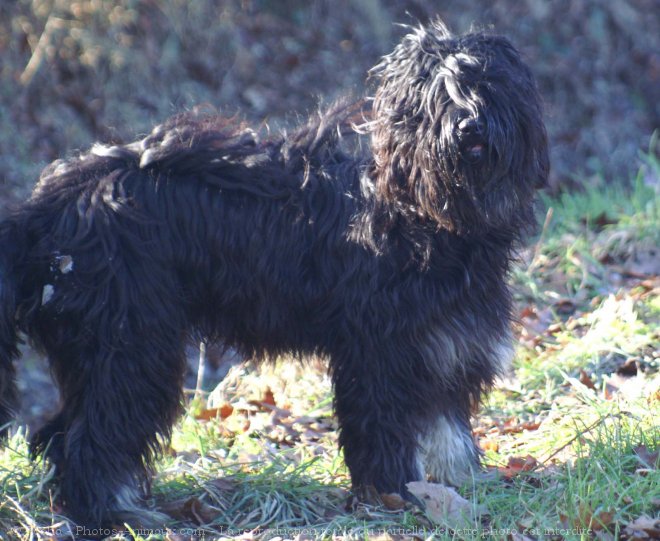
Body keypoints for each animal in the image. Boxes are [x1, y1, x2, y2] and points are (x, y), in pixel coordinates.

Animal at [0, 19, 548, 524]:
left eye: (485, 83)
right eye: (436, 97)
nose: (469, 127)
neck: (427, 214)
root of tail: (41, 210)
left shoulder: (446, 343)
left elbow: (445, 427)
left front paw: (460, 485)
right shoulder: (379, 353)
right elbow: (384, 429)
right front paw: (395, 495)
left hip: (97, 349)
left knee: (61, 433)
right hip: (129, 344)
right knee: (91, 437)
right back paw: (116, 514)